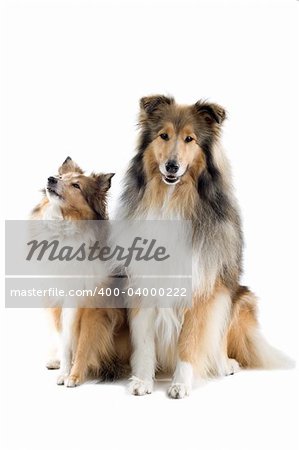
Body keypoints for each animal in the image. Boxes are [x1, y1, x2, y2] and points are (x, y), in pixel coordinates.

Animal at [31, 158, 130, 386]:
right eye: (60, 177)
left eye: (76, 185)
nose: (50, 178)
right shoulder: (58, 302)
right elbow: (65, 341)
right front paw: (64, 371)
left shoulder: (92, 309)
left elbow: (84, 343)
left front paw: (74, 376)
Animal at [119, 95, 292, 398]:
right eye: (164, 136)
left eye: (190, 139)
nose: (172, 167)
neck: (172, 200)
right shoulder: (144, 283)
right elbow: (144, 341)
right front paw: (141, 381)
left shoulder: (203, 289)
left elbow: (190, 342)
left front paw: (180, 384)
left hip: (239, 298)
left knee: (219, 339)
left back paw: (223, 364)